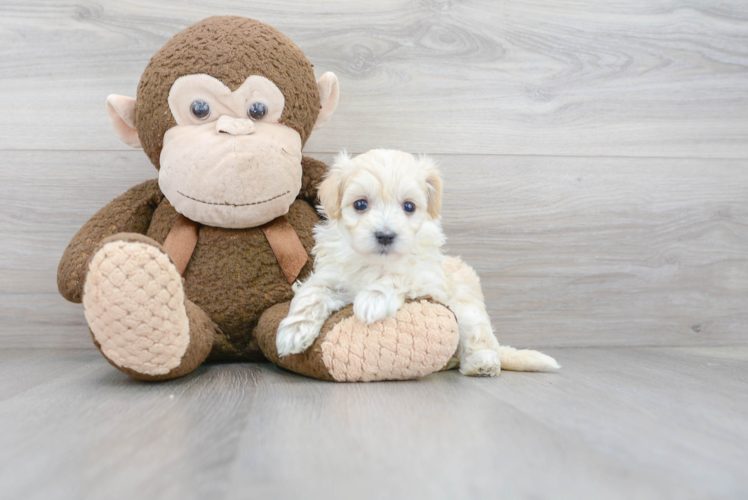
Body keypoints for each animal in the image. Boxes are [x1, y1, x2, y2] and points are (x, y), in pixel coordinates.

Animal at [278, 148, 560, 376]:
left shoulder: (428, 278)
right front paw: (293, 331)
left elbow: (399, 275)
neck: (376, 262)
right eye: (360, 204)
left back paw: (481, 364)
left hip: (469, 311)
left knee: (477, 340)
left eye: (409, 207)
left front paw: (373, 299)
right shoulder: (333, 275)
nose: (385, 235)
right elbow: (312, 293)